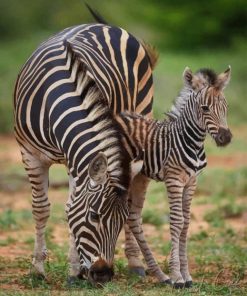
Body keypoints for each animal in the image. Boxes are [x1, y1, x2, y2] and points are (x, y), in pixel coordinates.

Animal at [13, 23, 156, 284]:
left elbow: (70, 207)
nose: (103, 274)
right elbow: (41, 209)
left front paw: (73, 271)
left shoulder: (75, 160)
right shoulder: (29, 153)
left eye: (119, 221)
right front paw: (38, 269)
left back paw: (135, 263)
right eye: (94, 216)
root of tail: (104, 25)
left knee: (137, 201)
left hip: (141, 113)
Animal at [115, 66, 232, 286]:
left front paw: (186, 275)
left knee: (132, 217)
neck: (191, 142)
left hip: (138, 177)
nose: (226, 138)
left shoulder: (192, 182)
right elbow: (177, 222)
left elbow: (186, 223)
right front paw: (177, 276)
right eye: (205, 108)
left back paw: (159, 274)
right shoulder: (174, 180)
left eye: (226, 106)